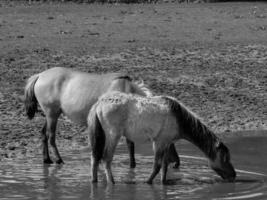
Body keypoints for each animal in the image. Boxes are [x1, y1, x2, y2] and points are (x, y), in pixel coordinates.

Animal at [24, 67, 181, 167]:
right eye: (170, 140)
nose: (177, 162)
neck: (125, 90)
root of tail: (40, 75)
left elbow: (130, 144)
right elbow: (128, 144)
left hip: (52, 115)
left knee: (43, 134)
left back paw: (47, 160)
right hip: (52, 114)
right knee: (51, 136)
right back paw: (59, 160)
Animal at [87, 92, 236, 184]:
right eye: (225, 158)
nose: (234, 175)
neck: (179, 119)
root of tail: (99, 103)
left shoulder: (167, 143)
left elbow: (164, 165)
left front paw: (164, 183)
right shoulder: (159, 142)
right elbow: (157, 166)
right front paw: (148, 182)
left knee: (95, 158)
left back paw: (94, 181)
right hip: (113, 136)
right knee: (106, 159)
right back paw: (112, 182)